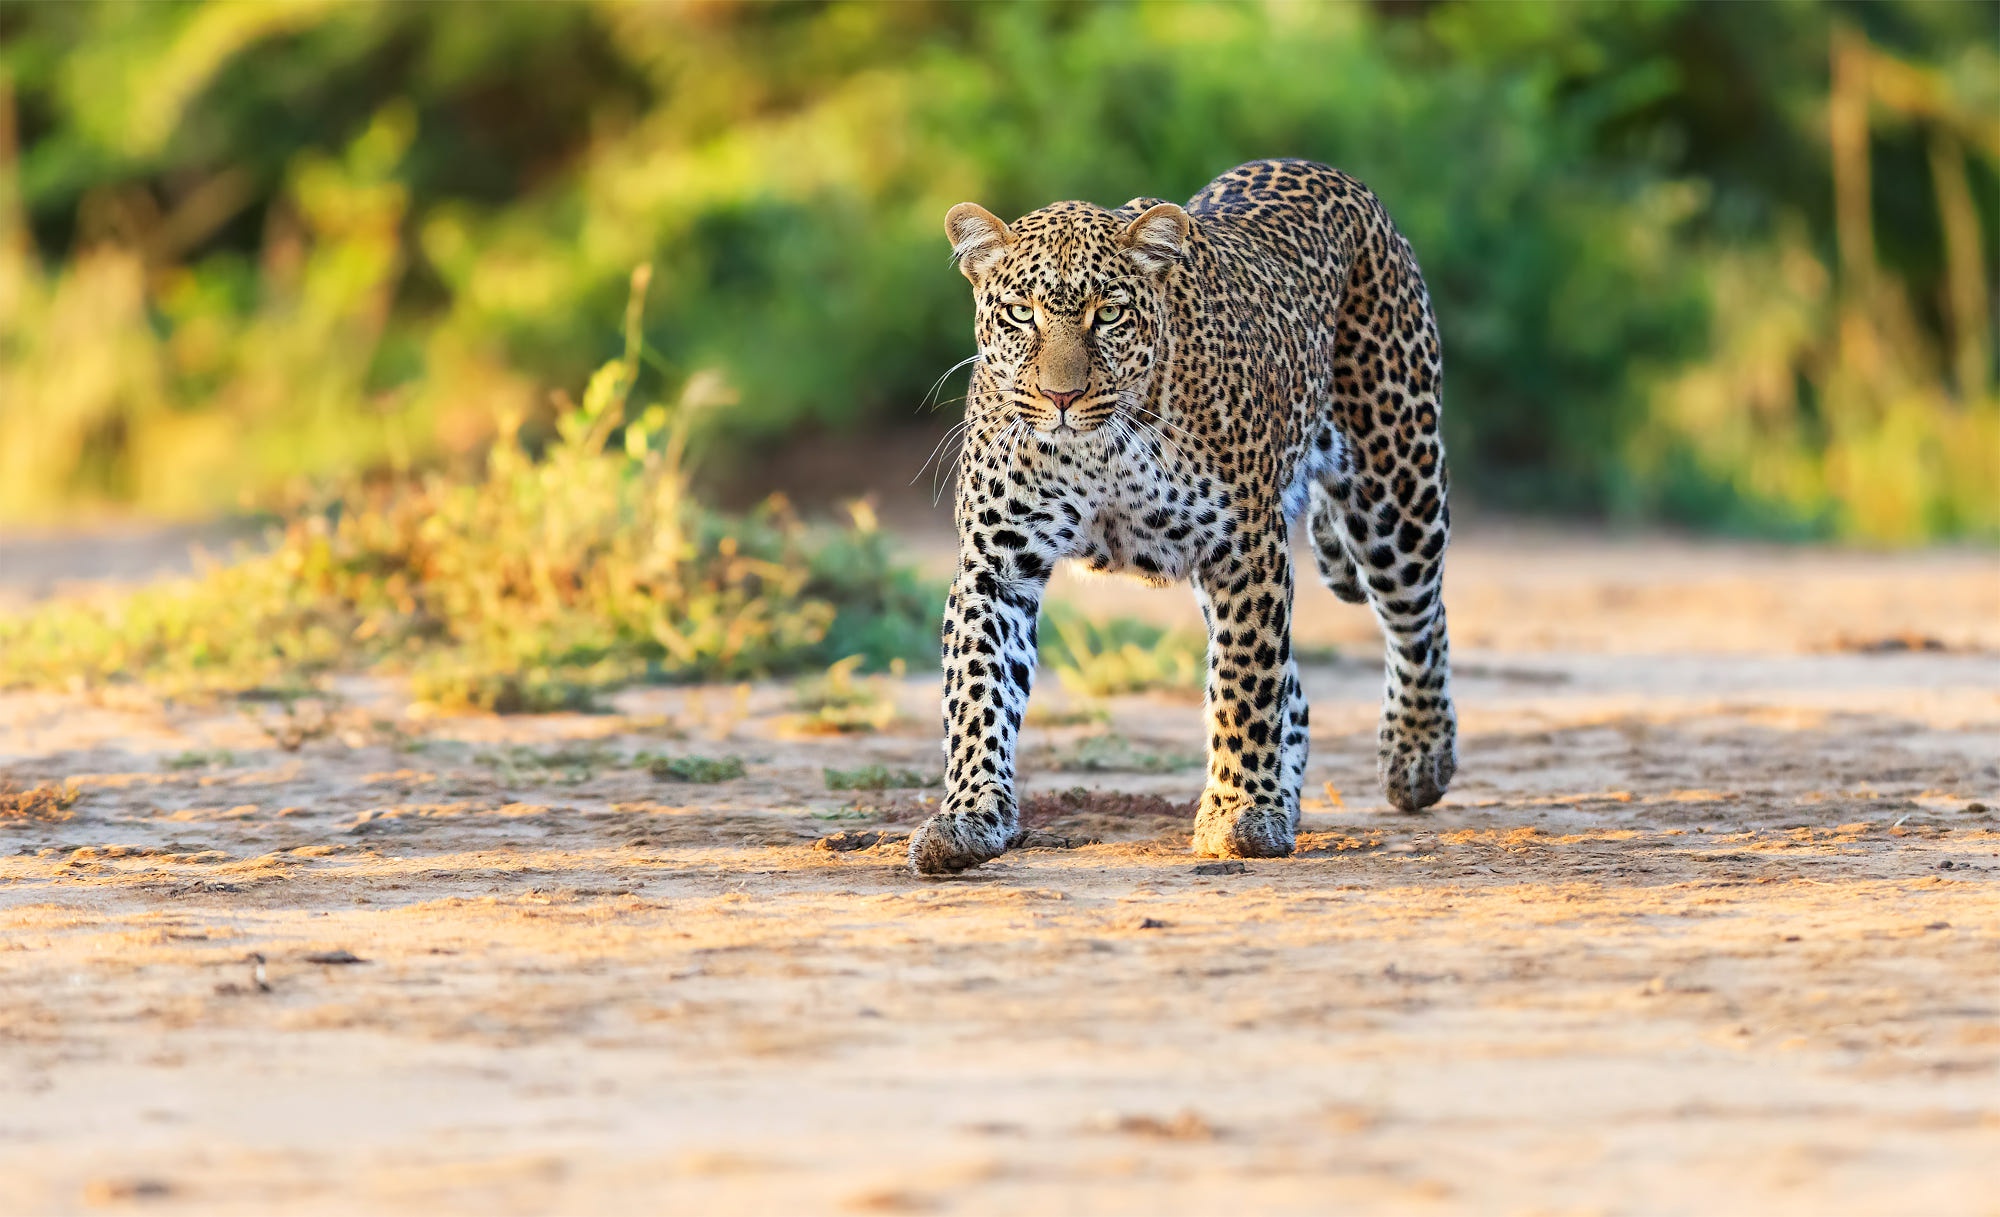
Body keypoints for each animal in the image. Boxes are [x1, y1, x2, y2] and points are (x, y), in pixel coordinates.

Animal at [908, 159, 1456, 872]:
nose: (1061, 396)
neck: (1098, 452)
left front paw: (1241, 813)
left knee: (1419, 616)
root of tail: (1326, 171)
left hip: (1395, 486)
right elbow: (978, 693)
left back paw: (1418, 755)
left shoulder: (1246, 549)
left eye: (1109, 314)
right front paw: (970, 818)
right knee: (1300, 691)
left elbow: (1245, 686)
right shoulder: (996, 566)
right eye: (1021, 315)